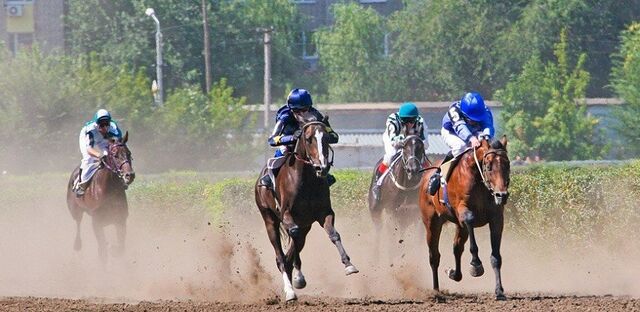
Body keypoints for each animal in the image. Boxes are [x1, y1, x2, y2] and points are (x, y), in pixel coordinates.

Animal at [65, 131, 135, 264]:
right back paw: (77, 244)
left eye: (129, 153)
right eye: (115, 155)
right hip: (75, 210)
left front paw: (114, 249)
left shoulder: (120, 220)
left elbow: (120, 247)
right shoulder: (97, 223)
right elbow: (102, 251)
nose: (129, 175)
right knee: (78, 223)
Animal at [254, 115, 358, 302]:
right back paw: (290, 291)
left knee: (290, 254)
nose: (322, 167)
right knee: (281, 257)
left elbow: (333, 234)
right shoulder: (287, 215)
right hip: (269, 219)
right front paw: (298, 279)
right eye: (308, 139)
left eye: (327, 138)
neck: (306, 180)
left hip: (306, 226)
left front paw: (349, 264)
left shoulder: (324, 213)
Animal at [420, 136, 510, 300]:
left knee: (457, 247)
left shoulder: (496, 219)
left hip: (459, 226)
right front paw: (476, 264)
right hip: (431, 223)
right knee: (434, 255)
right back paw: (436, 291)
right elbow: (469, 220)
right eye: (488, 166)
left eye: (507, 164)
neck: (479, 180)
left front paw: (499, 291)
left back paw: (454, 274)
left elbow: (496, 257)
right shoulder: (464, 211)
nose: (502, 195)